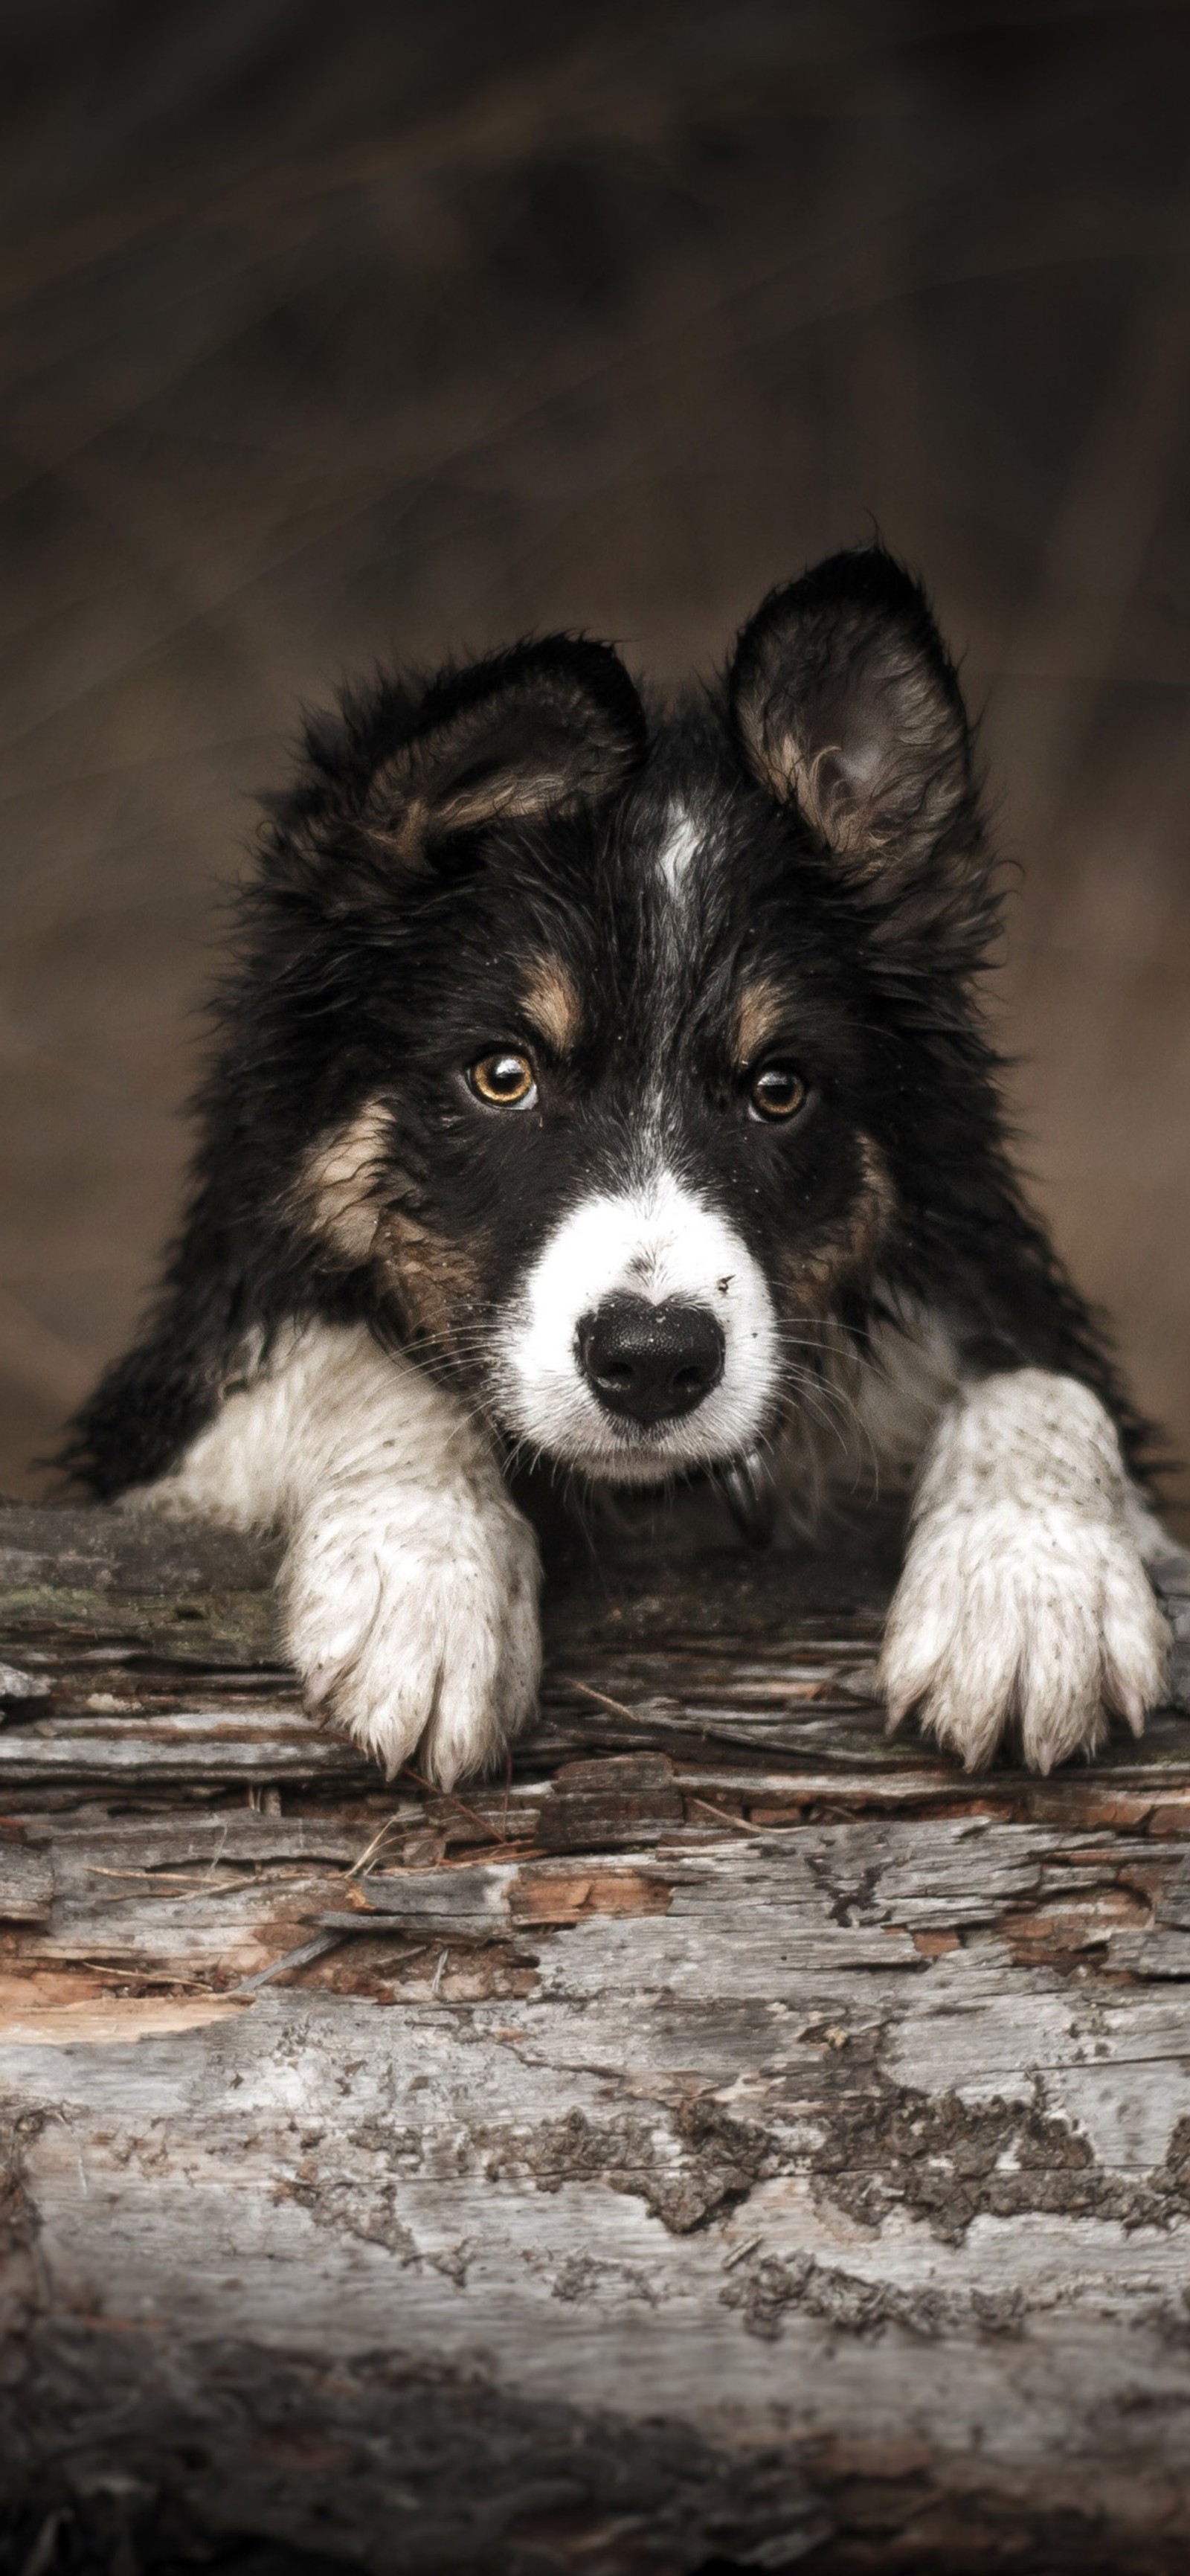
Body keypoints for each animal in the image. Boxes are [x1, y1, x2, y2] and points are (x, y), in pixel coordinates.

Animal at [65, 546, 1169, 1782]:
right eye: (503, 1074)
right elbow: (359, 1363)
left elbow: (1042, 1380)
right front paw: (425, 1583)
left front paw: (1034, 1592)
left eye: (778, 1089)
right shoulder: (152, 1414)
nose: (652, 1362)